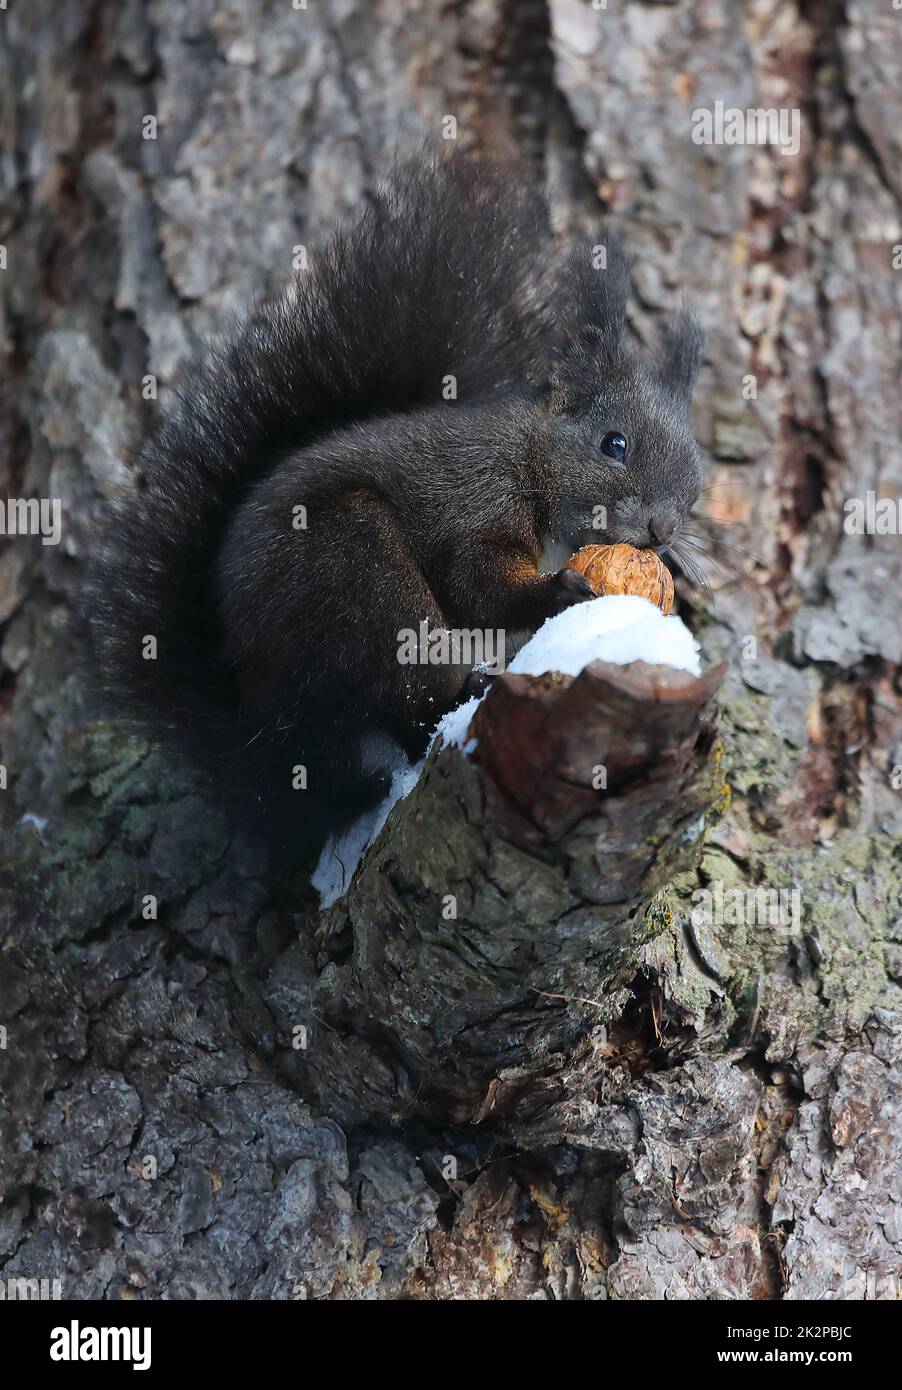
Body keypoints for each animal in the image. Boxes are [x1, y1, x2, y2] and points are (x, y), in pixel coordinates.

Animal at [86, 157, 703, 856]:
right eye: (614, 444)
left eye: (696, 483)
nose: (661, 528)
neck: (535, 461)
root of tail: (256, 715)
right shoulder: (476, 499)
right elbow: (478, 584)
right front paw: (560, 593)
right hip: (356, 569)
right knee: (405, 690)